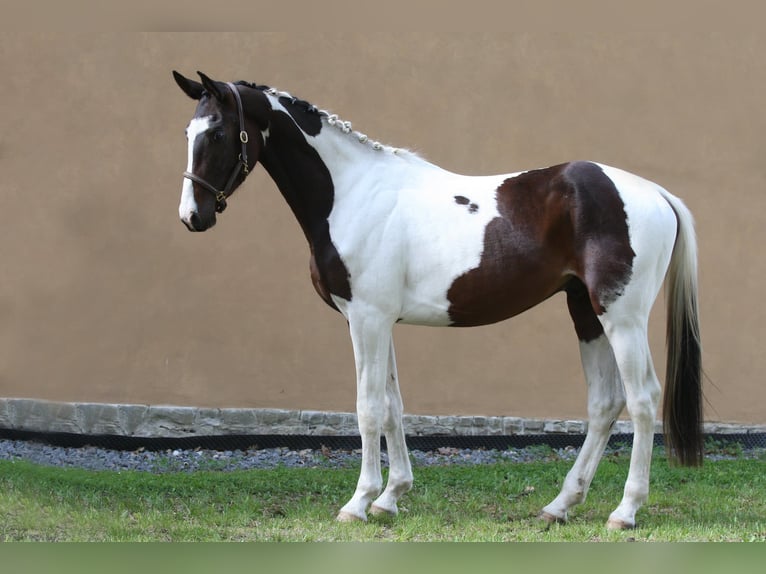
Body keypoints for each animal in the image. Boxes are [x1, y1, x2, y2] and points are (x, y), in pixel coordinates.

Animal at [173, 70, 703, 530]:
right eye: (188, 130)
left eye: (218, 133)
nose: (192, 216)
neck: (352, 194)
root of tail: (656, 193)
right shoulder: (376, 321)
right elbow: (392, 405)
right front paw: (390, 498)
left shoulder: (367, 319)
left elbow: (368, 407)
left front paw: (358, 503)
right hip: (585, 312)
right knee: (604, 402)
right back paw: (559, 505)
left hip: (622, 317)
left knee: (641, 400)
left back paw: (625, 511)